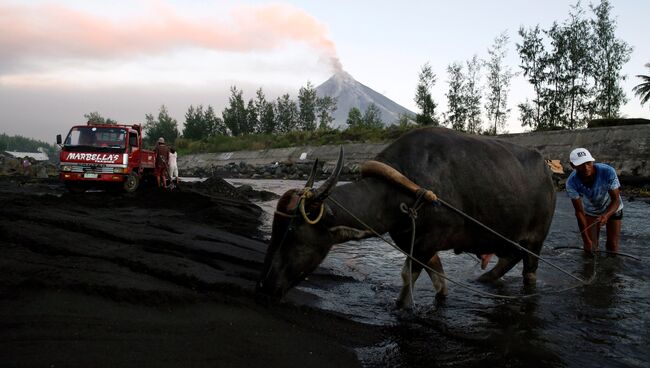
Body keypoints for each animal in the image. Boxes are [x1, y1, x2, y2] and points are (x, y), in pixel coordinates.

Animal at [256, 126, 556, 304]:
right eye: (276, 229)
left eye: (292, 232)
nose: (265, 286)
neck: (402, 190)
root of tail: (547, 170)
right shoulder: (418, 245)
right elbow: (438, 281)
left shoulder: (426, 244)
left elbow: (406, 281)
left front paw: (401, 307)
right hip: (509, 238)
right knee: (509, 258)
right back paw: (483, 280)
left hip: (536, 240)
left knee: (529, 269)